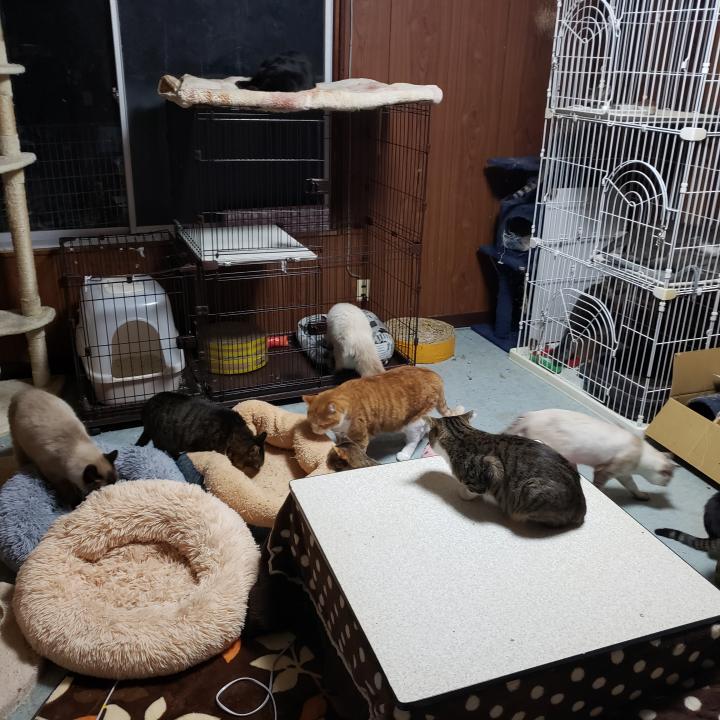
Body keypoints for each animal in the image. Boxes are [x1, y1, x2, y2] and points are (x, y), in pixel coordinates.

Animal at [303, 365, 463, 461]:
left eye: (320, 424)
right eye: (310, 422)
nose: (313, 430)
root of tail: (434, 375)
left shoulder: (360, 437)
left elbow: (356, 451)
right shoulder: (341, 433)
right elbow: (340, 441)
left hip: (413, 421)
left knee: (415, 438)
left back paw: (405, 453)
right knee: (424, 428)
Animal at [427, 412, 586, 528]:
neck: (464, 437)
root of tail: (581, 509)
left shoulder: (489, 471)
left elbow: (471, 490)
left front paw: (462, 493)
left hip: (531, 490)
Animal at [505, 409, 676, 501]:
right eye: (668, 478)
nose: (668, 484)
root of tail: (531, 415)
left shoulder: (624, 475)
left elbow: (633, 487)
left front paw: (641, 496)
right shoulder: (606, 471)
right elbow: (599, 485)